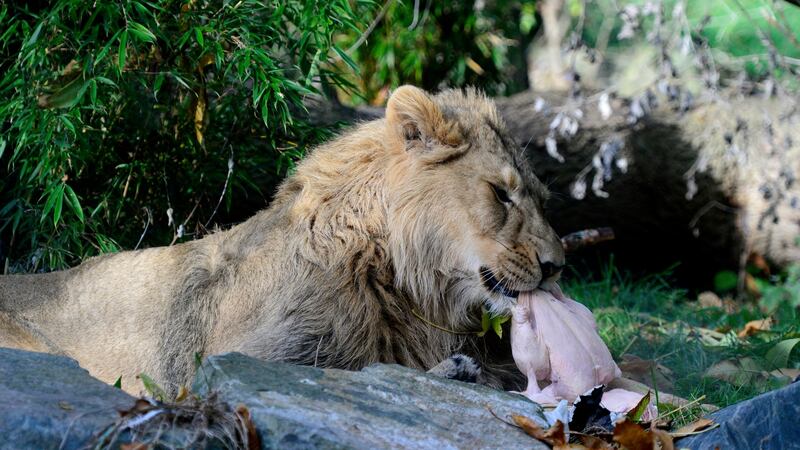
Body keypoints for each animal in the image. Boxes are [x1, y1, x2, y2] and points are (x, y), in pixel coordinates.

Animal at [0, 86, 565, 395]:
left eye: (541, 198)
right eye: (500, 194)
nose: (557, 265)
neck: (412, 286)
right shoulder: (234, 360)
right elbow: (358, 370)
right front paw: (455, 370)